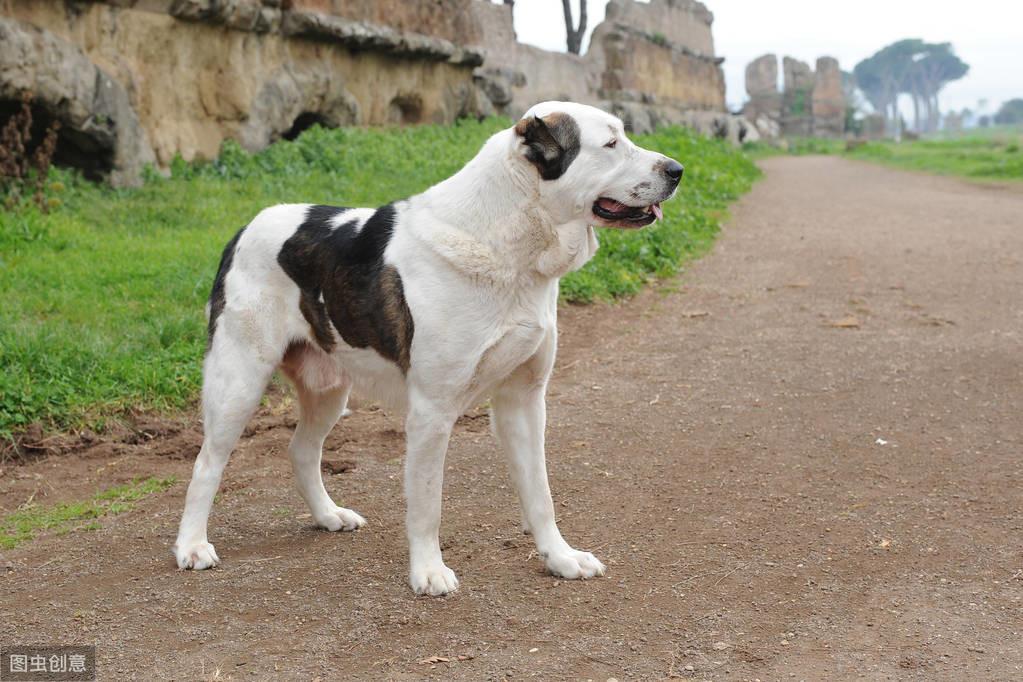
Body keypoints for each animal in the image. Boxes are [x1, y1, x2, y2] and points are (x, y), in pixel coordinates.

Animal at [175, 101, 683, 597]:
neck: (510, 247)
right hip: (238, 381)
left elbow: (540, 493)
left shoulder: (524, 401)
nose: (677, 170)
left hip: (328, 388)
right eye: (611, 144)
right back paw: (192, 545)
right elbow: (426, 502)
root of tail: (246, 226)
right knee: (206, 464)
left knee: (302, 449)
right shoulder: (432, 411)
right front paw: (428, 572)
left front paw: (559, 558)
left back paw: (327, 515)